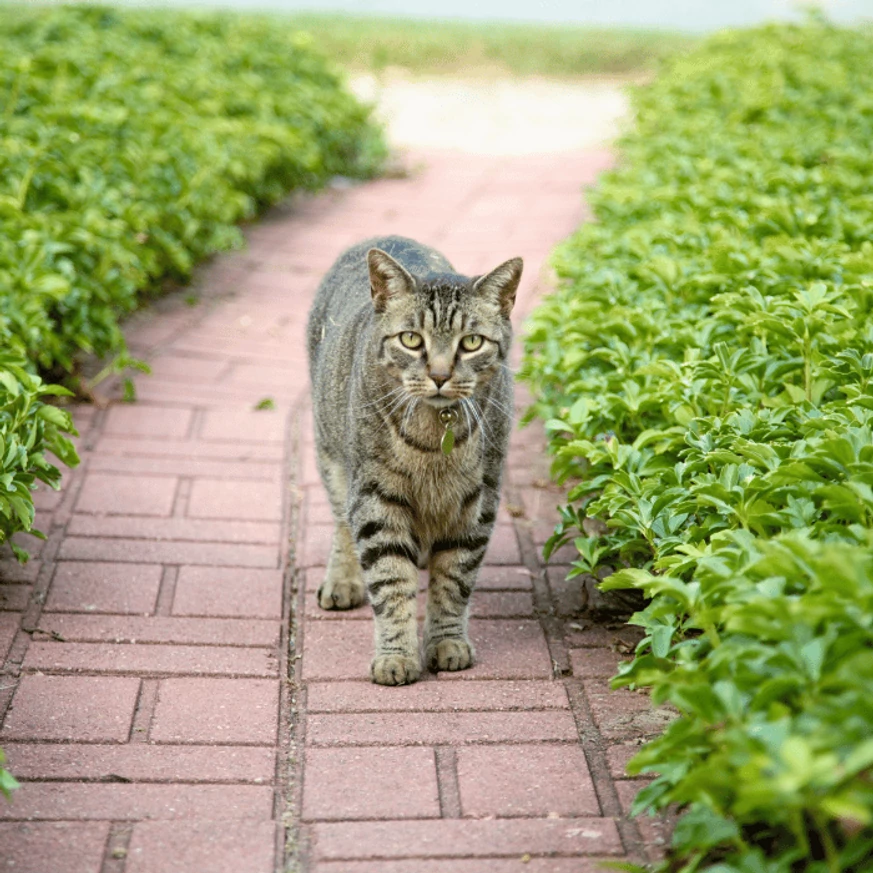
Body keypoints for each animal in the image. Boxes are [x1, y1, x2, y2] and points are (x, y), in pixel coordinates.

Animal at [306, 235, 520, 684]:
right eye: (411, 339)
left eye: (471, 343)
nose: (439, 375)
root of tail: (379, 238)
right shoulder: (374, 498)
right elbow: (390, 582)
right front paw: (396, 656)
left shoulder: (478, 503)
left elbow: (453, 581)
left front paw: (446, 642)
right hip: (332, 454)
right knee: (341, 523)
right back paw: (342, 580)